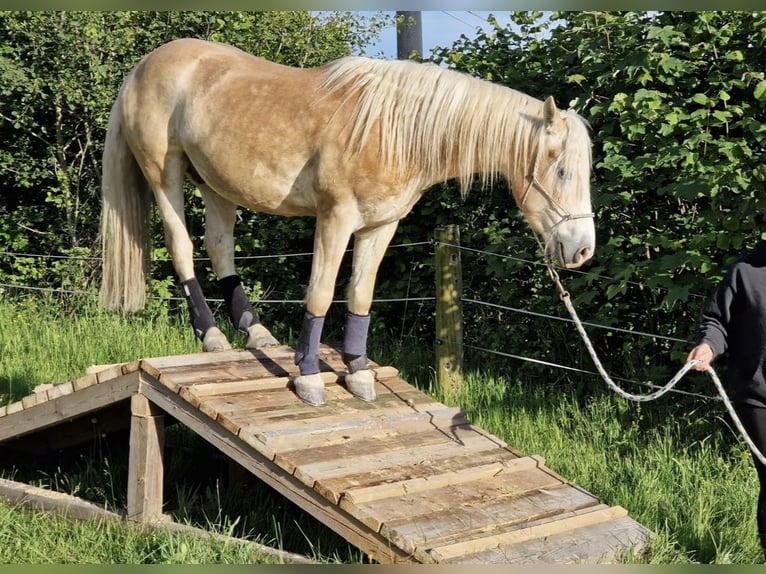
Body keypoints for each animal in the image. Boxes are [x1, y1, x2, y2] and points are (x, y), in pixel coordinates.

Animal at [97, 38, 600, 408]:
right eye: (560, 170)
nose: (581, 250)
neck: (394, 130)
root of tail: (142, 67)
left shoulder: (380, 227)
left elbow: (360, 294)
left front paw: (357, 372)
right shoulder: (335, 219)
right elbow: (320, 294)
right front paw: (308, 378)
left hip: (217, 183)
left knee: (219, 245)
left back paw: (257, 333)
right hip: (165, 172)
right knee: (181, 245)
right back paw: (213, 336)